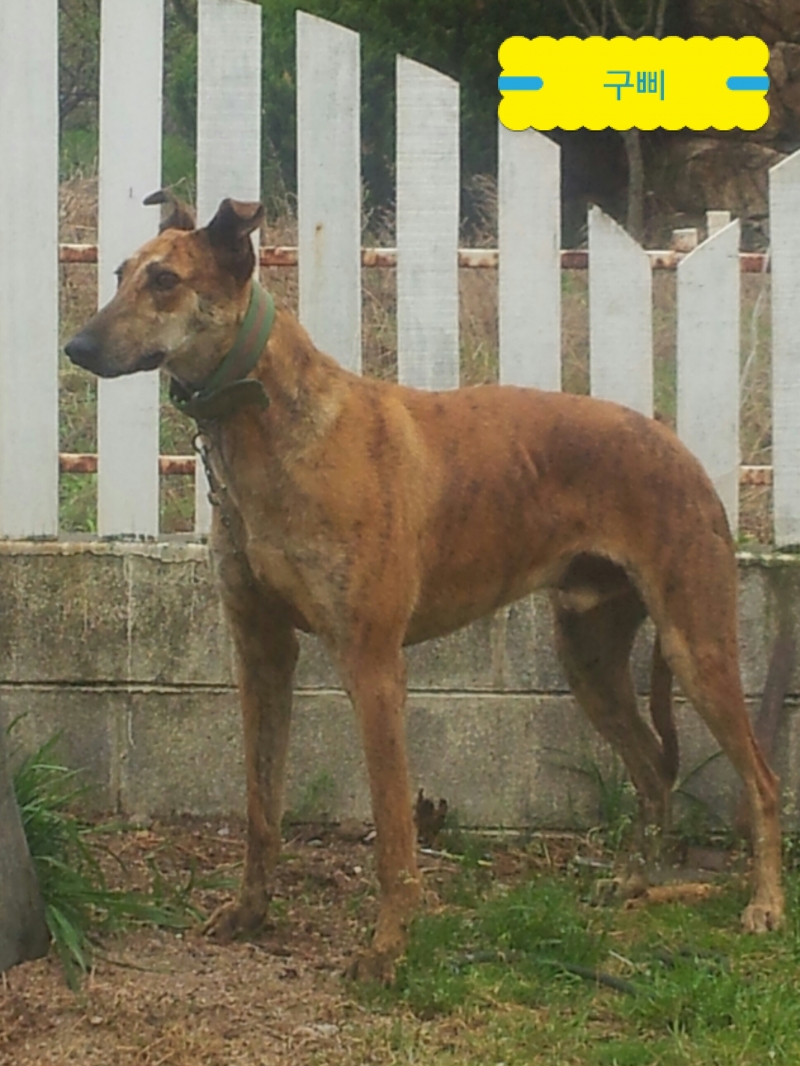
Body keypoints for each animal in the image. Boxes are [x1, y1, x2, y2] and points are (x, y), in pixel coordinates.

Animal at [65, 195, 784, 982]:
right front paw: (251, 914)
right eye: (121, 273)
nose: (77, 347)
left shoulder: (373, 663)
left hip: (695, 643)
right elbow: (260, 808)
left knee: (762, 782)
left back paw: (764, 905)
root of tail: (680, 448)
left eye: (165, 280)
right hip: (589, 656)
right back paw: (633, 884)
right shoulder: (260, 654)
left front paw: (387, 949)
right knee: (654, 770)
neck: (272, 421)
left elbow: (392, 830)